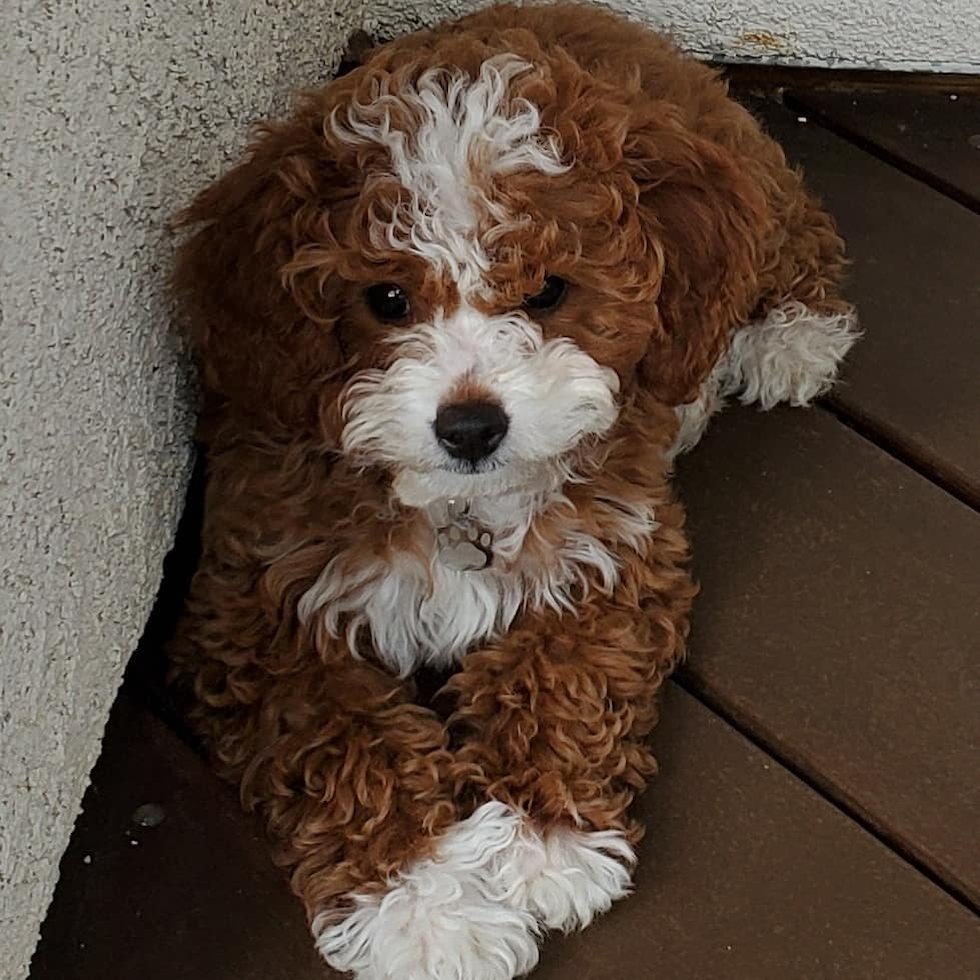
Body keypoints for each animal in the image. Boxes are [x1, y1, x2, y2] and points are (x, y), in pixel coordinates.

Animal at [170, 3, 856, 976]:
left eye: (549, 291)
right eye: (386, 299)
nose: (470, 427)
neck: (458, 506)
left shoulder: (609, 549)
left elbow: (566, 675)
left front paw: (543, 844)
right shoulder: (260, 599)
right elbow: (340, 744)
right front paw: (425, 910)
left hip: (745, 179)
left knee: (782, 237)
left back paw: (791, 335)